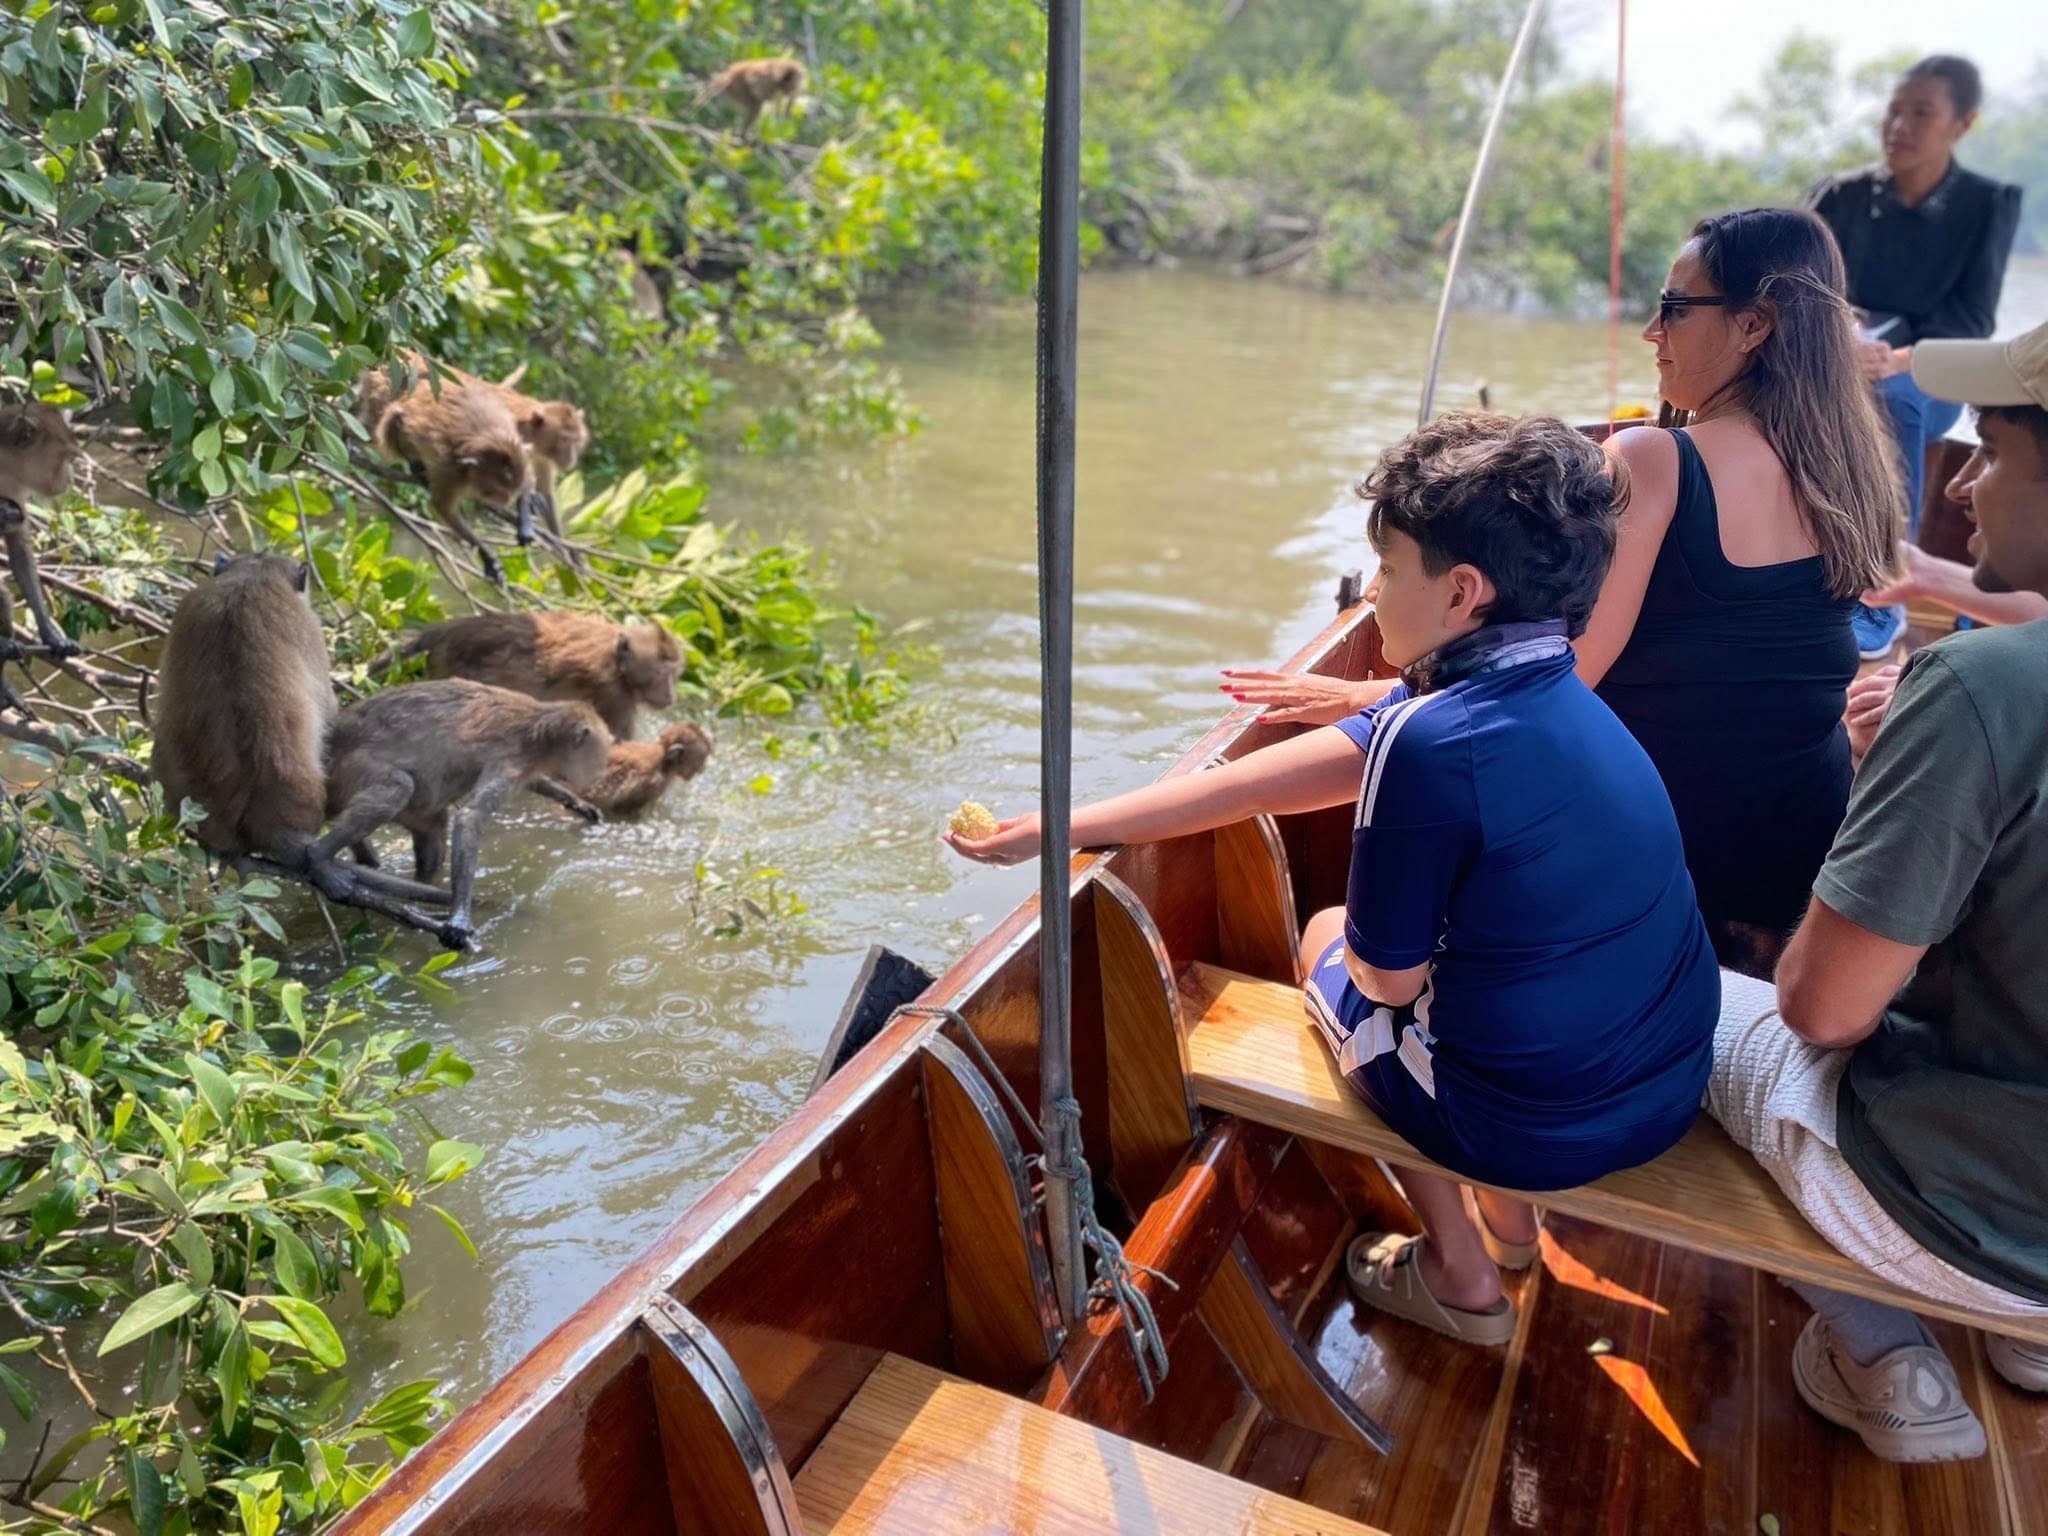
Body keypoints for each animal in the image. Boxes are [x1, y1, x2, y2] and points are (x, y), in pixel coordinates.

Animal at [316, 680, 612, 950]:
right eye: (600, 756)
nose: (600, 772)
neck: (542, 728)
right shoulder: (514, 756)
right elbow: (469, 818)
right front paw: (459, 918)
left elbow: (535, 783)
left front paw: (576, 802)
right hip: (347, 775)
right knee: (399, 787)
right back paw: (318, 858)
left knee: (432, 831)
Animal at [373, 381, 533, 585]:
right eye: (497, 492)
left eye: (507, 493)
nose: (503, 502)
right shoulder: (448, 472)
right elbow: (443, 506)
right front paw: (487, 557)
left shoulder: (518, 452)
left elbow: (528, 478)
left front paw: (525, 525)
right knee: (397, 418)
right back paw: (417, 467)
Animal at [397, 610, 682, 742]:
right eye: (661, 674)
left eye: (674, 675)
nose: (671, 695)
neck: (615, 658)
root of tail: (451, 628)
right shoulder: (613, 695)